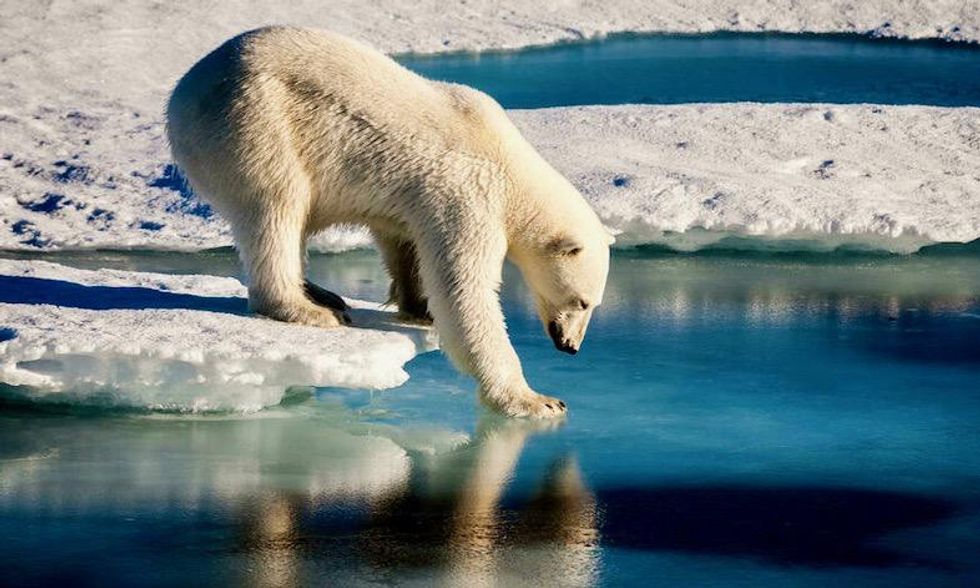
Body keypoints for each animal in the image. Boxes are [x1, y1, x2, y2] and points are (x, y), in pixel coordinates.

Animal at [166, 27, 612, 418]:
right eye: (582, 302)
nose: (570, 346)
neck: (510, 166)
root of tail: (182, 91)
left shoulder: (416, 199)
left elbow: (404, 241)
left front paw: (419, 306)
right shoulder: (468, 195)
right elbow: (465, 291)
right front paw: (537, 400)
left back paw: (322, 293)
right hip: (255, 122)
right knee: (277, 206)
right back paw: (308, 309)